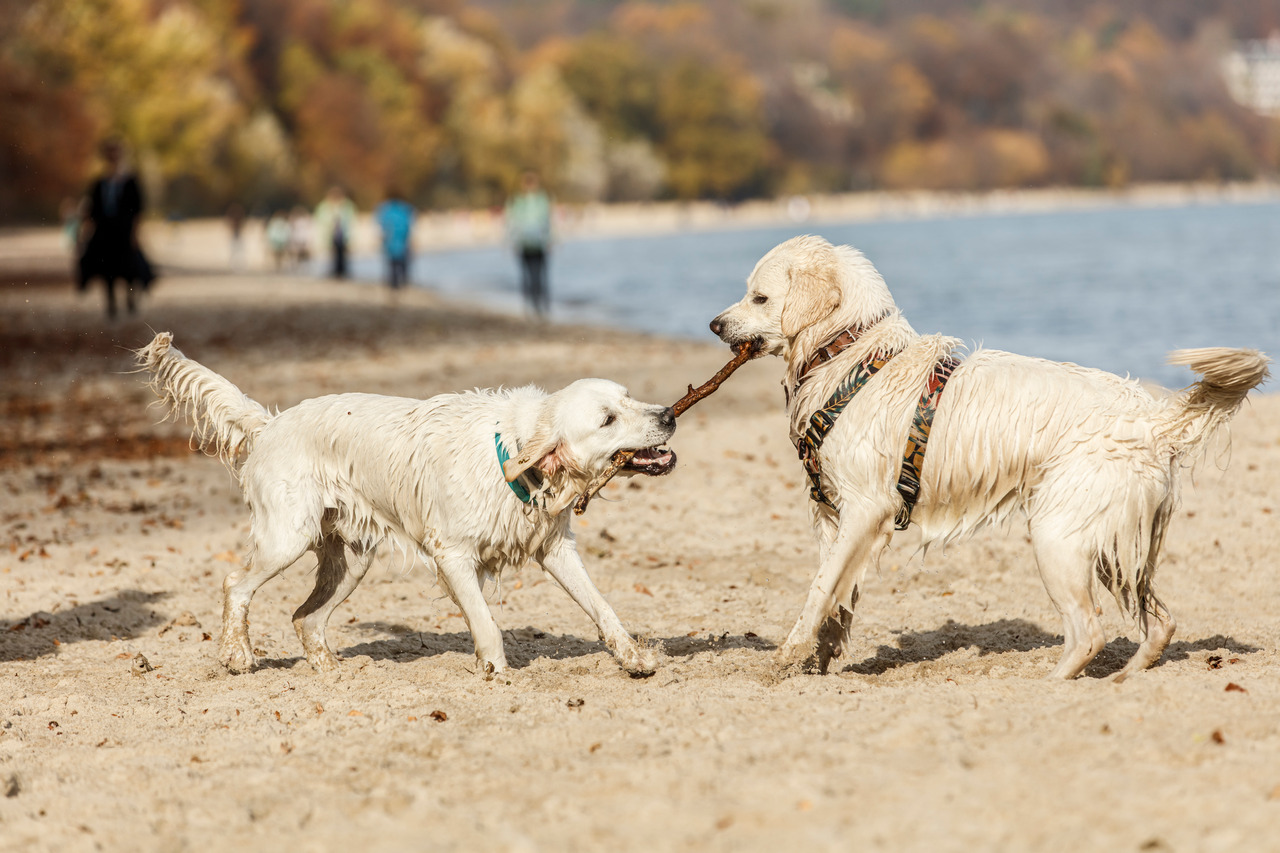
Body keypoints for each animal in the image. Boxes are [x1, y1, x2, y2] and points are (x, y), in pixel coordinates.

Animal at [136, 333, 680, 676]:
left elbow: (603, 608)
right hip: (286, 537)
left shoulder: (555, 548)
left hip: (352, 558)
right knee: (236, 584)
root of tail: (270, 424)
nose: (669, 415)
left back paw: (331, 670)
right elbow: (487, 624)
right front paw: (496, 672)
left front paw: (634, 658)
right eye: (608, 419)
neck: (513, 457)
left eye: (630, 398)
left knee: (305, 617)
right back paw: (238, 656)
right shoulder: (452, 555)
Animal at [711, 235, 1269, 681]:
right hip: (1111, 544)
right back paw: (1124, 679)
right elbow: (834, 598)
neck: (850, 354)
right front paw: (820, 661)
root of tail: (1152, 420)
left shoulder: (866, 509)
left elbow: (819, 590)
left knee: (1090, 632)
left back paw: (1049, 685)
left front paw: (789, 655)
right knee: (1159, 623)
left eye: (760, 296)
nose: (715, 324)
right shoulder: (836, 517)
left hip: (1057, 536)